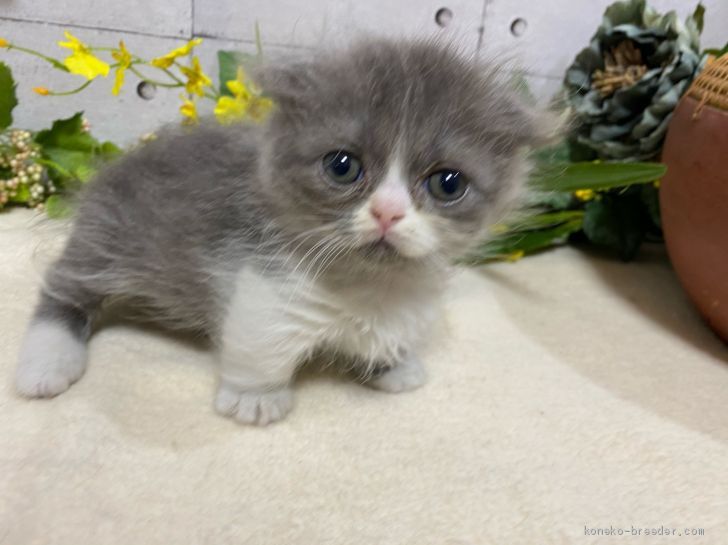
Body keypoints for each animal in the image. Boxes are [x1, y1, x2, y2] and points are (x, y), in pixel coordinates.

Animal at [15, 40, 552, 428]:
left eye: (448, 183)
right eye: (342, 166)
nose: (388, 213)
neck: (367, 282)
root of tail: (116, 162)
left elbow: (390, 333)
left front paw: (394, 365)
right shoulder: (263, 283)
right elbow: (259, 342)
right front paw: (255, 398)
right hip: (109, 237)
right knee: (63, 287)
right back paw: (46, 363)